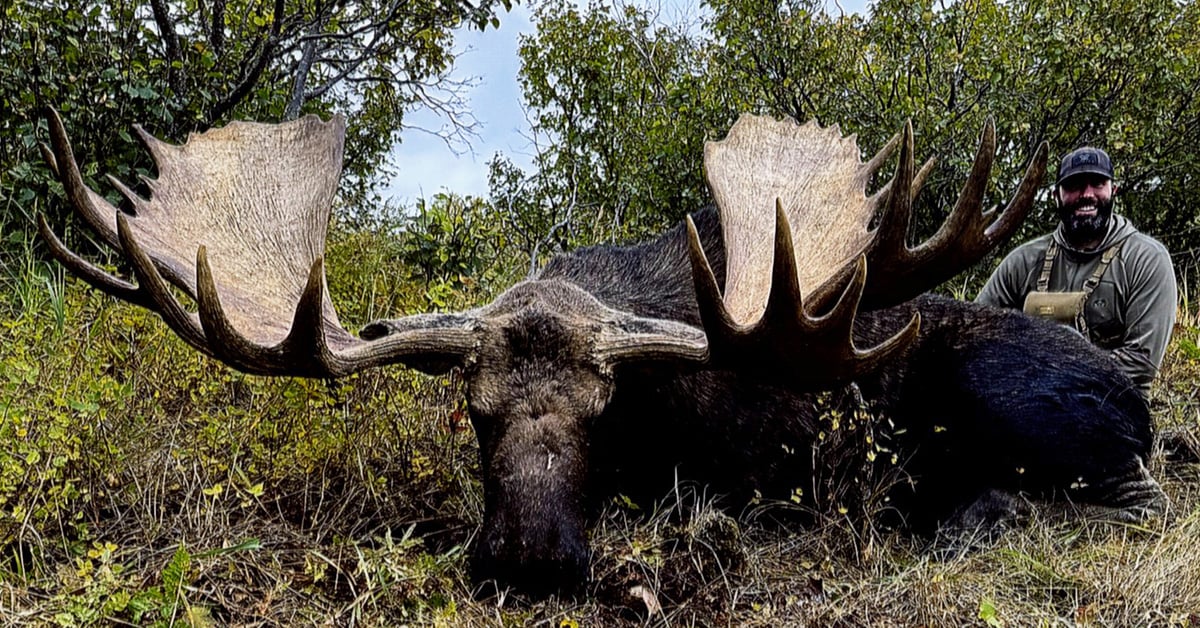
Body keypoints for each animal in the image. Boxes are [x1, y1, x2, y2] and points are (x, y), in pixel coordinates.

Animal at [38, 108, 1166, 596]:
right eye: (474, 414)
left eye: (604, 412)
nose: (530, 561)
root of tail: (1140, 403)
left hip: (1009, 396)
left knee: (1106, 498)